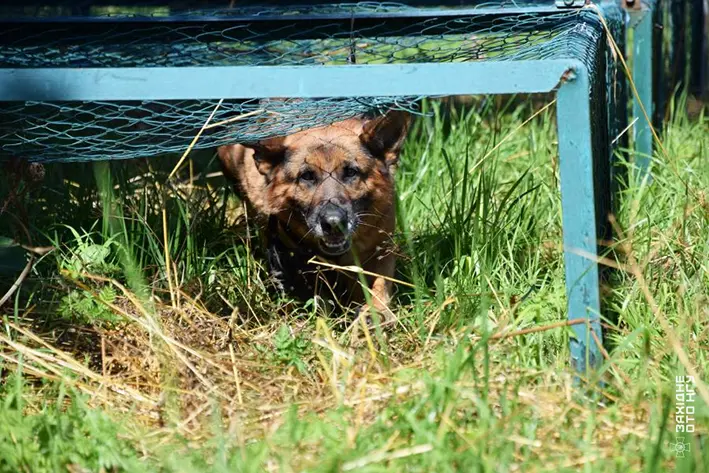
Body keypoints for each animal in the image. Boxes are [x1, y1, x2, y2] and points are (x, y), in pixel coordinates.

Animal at [218, 110, 412, 318]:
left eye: (351, 172)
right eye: (307, 176)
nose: (333, 223)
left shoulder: (380, 251)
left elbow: (379, 288)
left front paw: (373, 314)